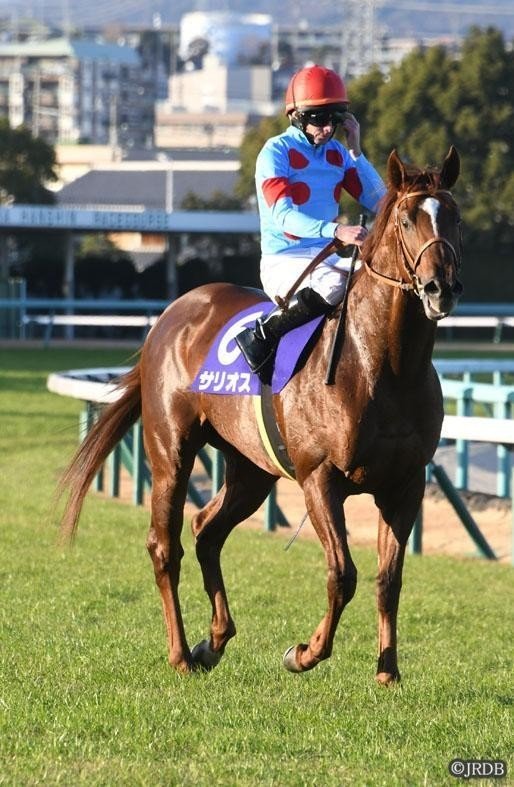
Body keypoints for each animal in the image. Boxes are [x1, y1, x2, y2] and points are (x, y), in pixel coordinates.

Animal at [59, 146, 463, 684]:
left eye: (454, 216)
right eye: (405, 218)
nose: (441, 289)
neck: (384, 364)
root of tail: (171, 315)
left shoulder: (406, 483)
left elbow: (388, 579)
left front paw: (388, 671)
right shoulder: (320, 478)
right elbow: (342, 574)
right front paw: (304, 652)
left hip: (251, 468)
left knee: (207, 530)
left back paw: (213, 641)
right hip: (171, 451)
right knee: (165, 545)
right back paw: (181, 654)